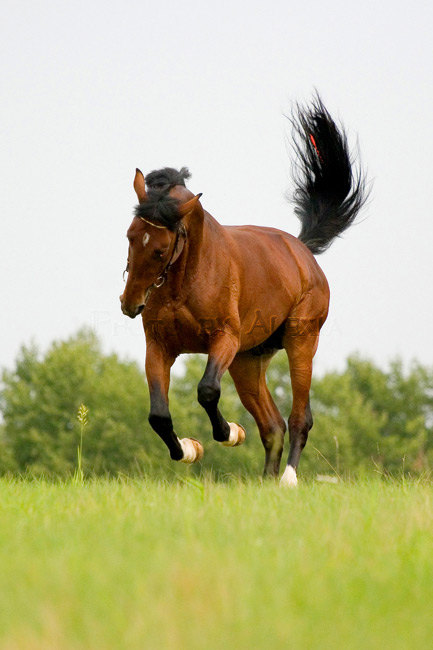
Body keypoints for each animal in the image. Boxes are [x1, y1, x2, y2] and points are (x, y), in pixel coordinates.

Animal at [120, 95, 366, 480]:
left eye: (160, 249)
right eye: (130, 236)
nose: (129, 304)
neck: (183, 285)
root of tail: (302, 250)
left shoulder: (225, 340)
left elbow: (207, 390)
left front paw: (230, 432)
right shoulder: (159, 347)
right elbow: (158, 415)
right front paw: (189, 449)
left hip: (300, 341)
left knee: (300, 418)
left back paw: (288, 479)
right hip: (248, 362)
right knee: (273, 425)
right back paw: (266, 481)